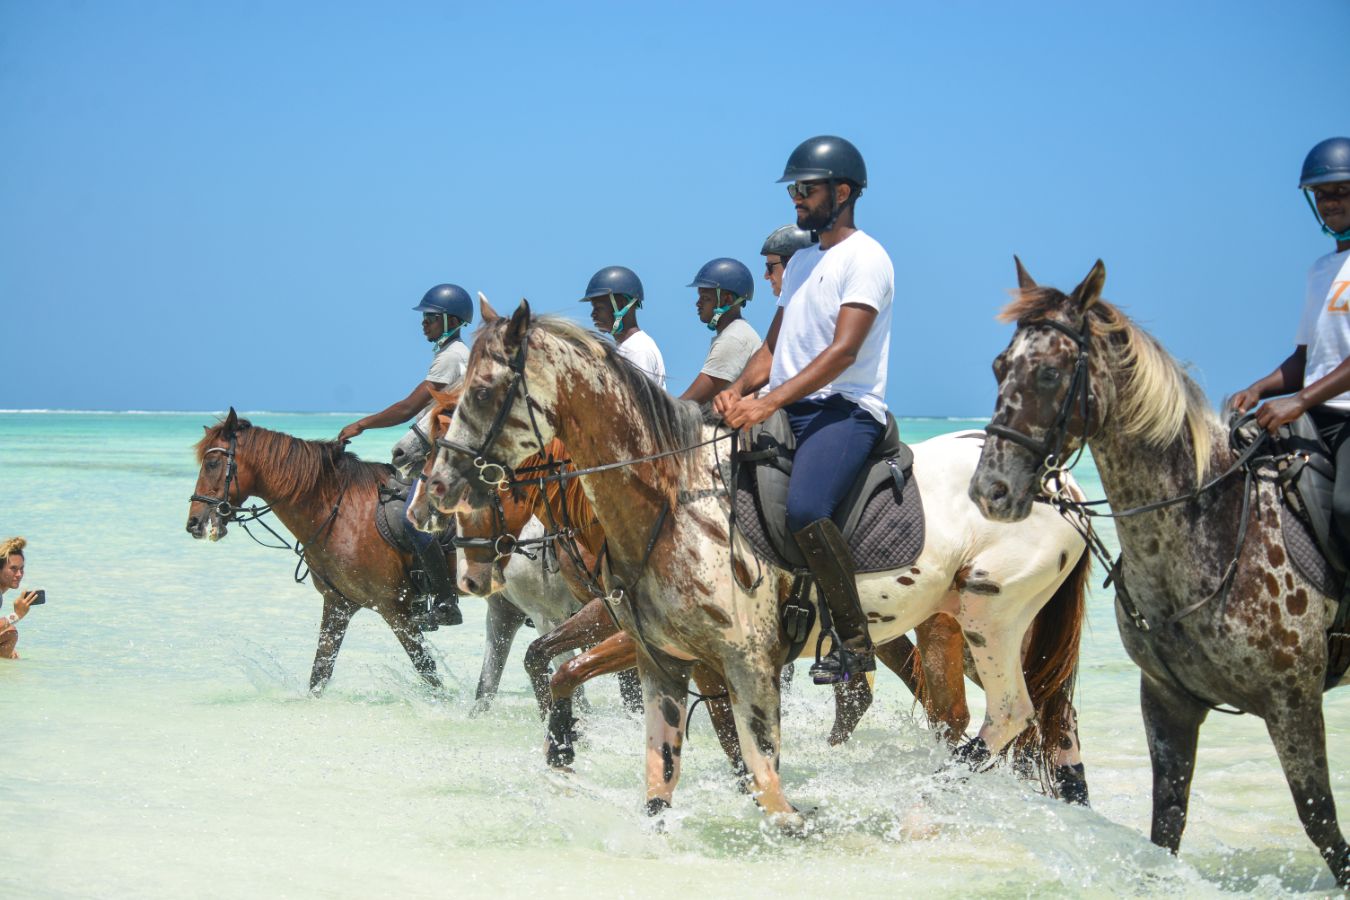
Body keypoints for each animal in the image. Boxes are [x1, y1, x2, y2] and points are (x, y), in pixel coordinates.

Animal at [186, 409, 441, 693]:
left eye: (211, 464)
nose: (194, 523)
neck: (340, 514)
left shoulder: (395, 609)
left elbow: (429, 673)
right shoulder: (338, 605)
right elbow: (319, 674)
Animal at [423, 298, 1089, 827]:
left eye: (481, 391)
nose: (439, 489)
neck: (672, 499)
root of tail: (1060, 482)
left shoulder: (738, 660)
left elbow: (761, 777)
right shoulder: (671, 658)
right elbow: (668, 771)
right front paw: (565, 754)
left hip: (986, 618)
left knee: (1004, 714)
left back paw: (925, 798)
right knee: (1041, 719)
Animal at [969, 258, 1350, 885]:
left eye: (1049, 373)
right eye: (1000, 367)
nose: (989, 491)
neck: (1213, 527)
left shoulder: (1293, 701)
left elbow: (1321, 822)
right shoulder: (1167, 702)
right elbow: (1166, 823)